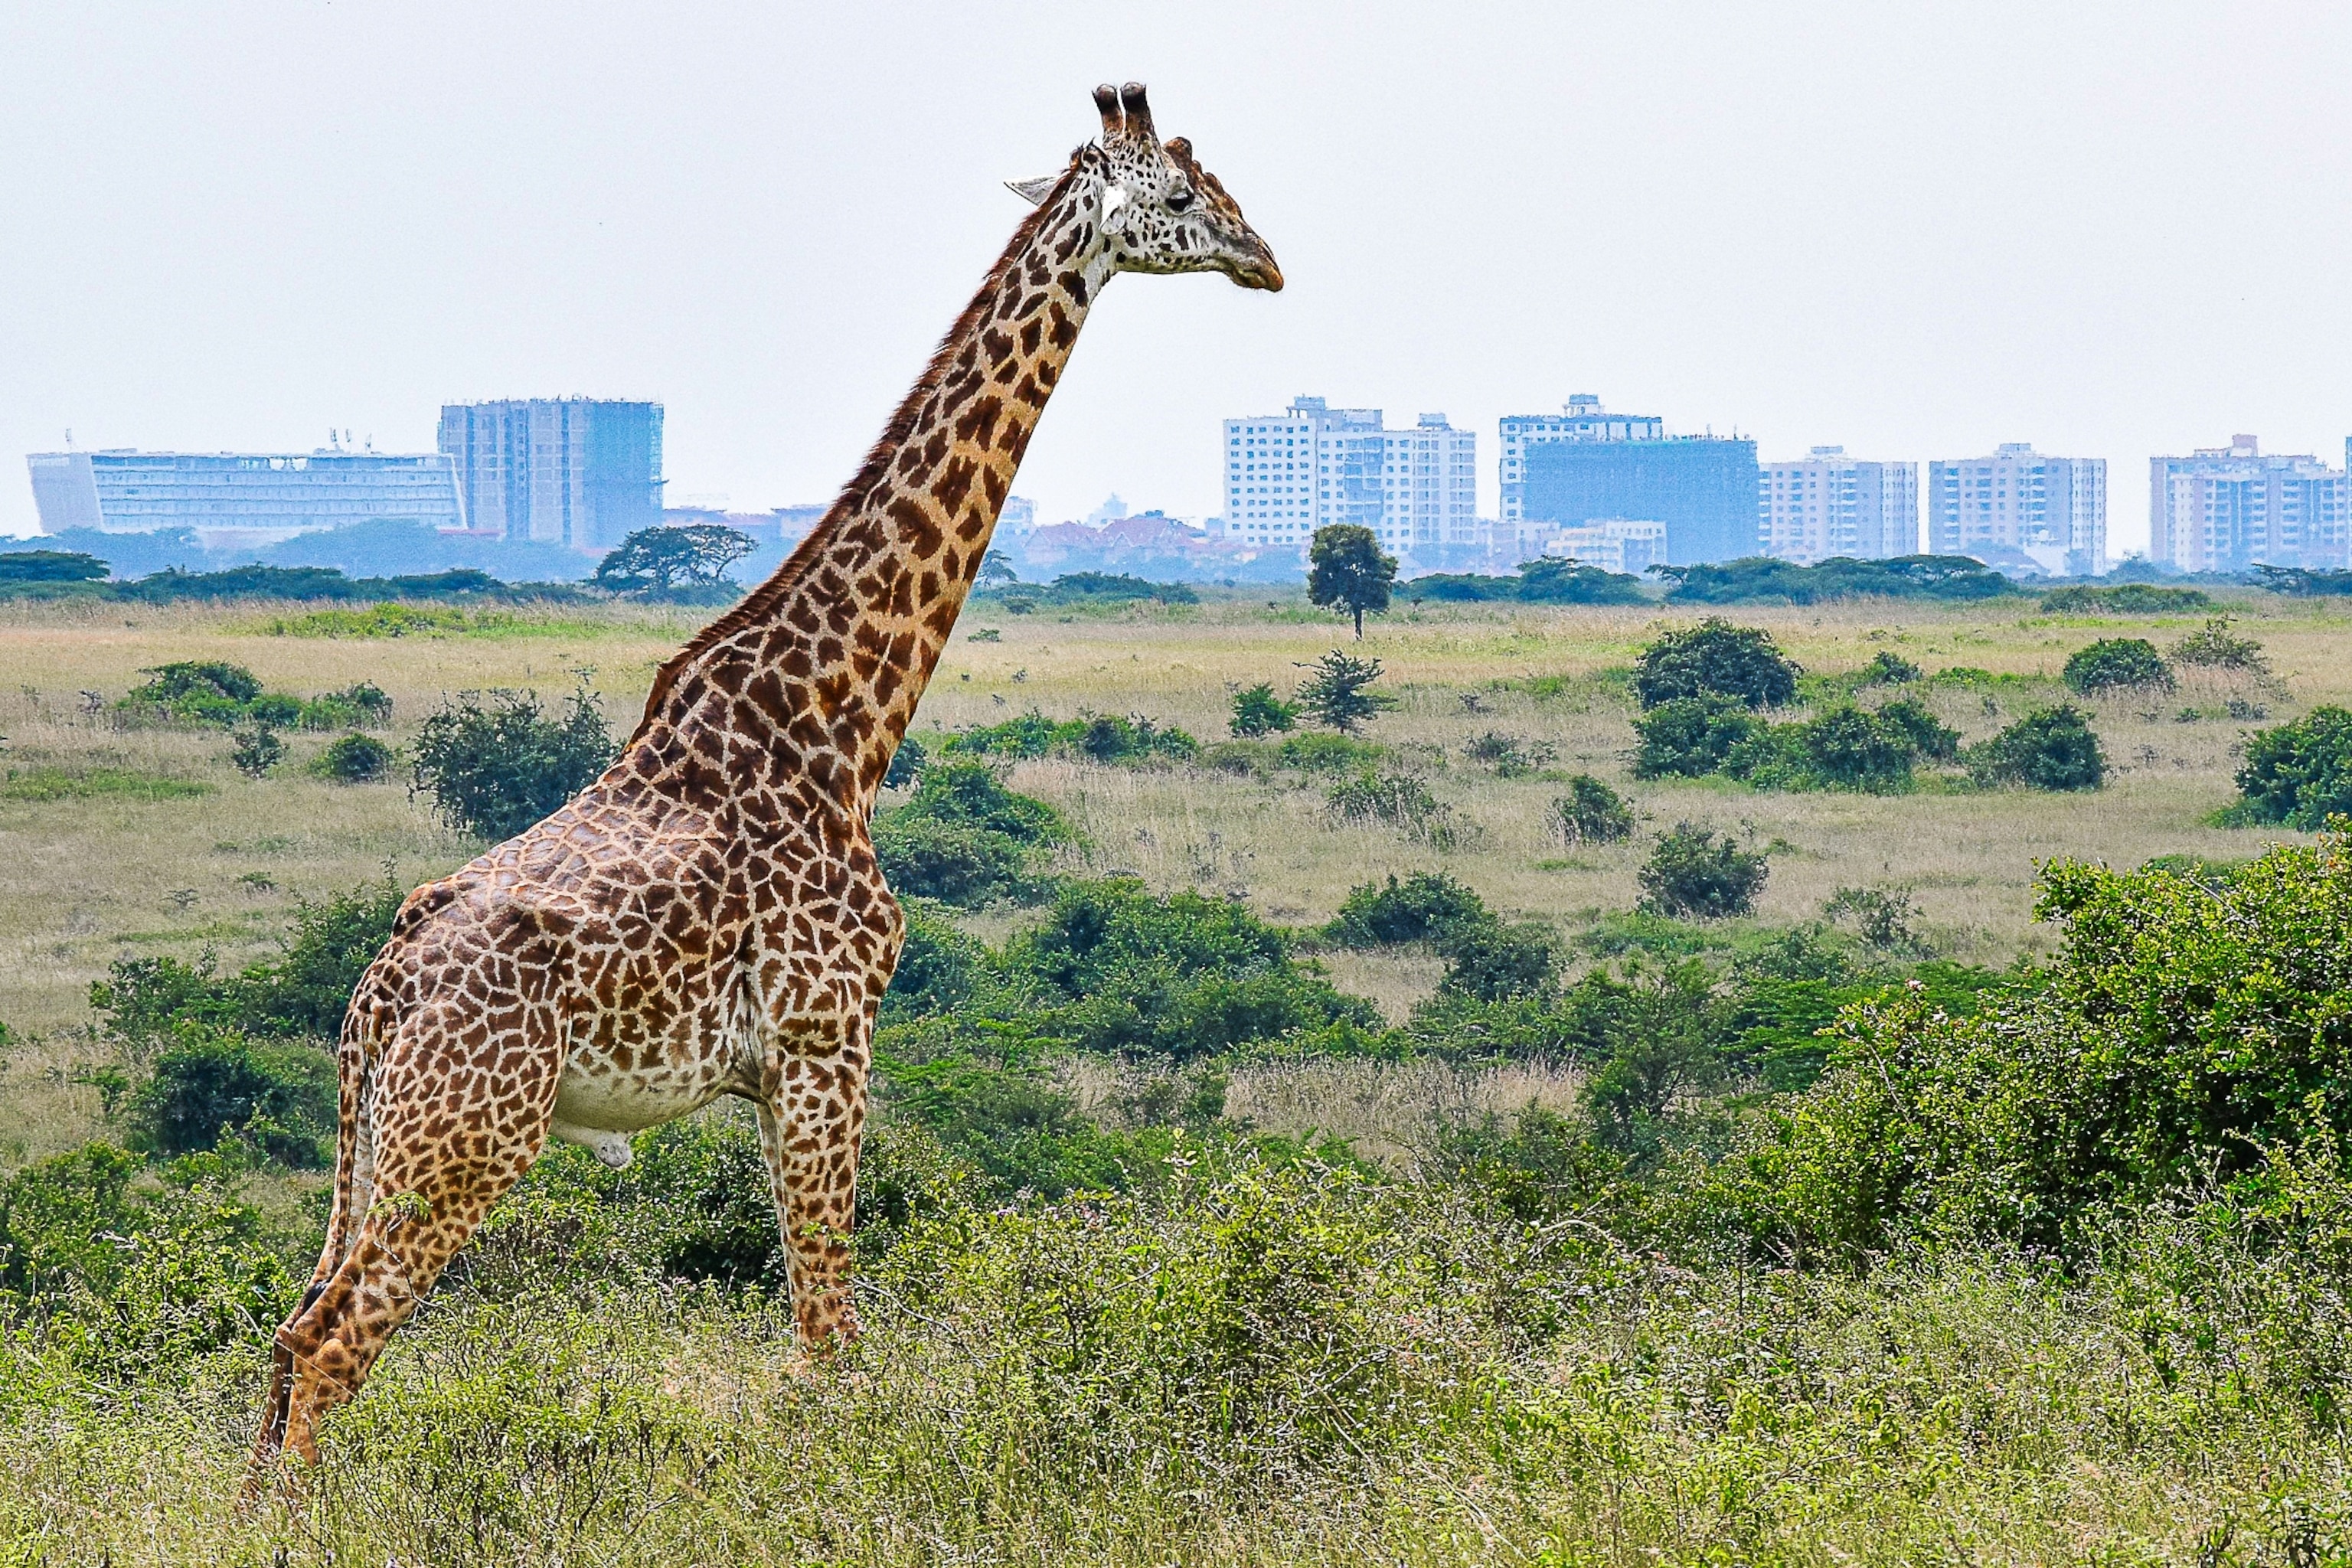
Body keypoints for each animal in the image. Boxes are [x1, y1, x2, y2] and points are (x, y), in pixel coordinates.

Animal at [245, 82, 1280, 1481]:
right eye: (1177, 198)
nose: (1265, 260)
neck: (843, 726)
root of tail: (374, 998)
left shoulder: (782, 1062)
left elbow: (812, 1330)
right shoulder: (826, 1031)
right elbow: (828, 1337)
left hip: (382, 1141)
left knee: (289, 1333)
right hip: (471, 1138)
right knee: (332, 1347)